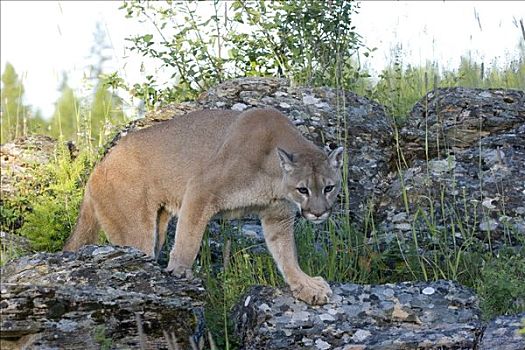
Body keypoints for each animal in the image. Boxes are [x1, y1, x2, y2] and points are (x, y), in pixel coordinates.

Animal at [63, 108, 344, 304]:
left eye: (329, 188)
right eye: (303, 190)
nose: (318, 213)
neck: (274, 176)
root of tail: (98, 166)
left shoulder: (278, 216)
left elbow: (286, 254)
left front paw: (305, 285)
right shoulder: (201, 190)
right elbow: (188, 239)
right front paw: (179, 272)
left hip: (157, 226)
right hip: (135, 230)